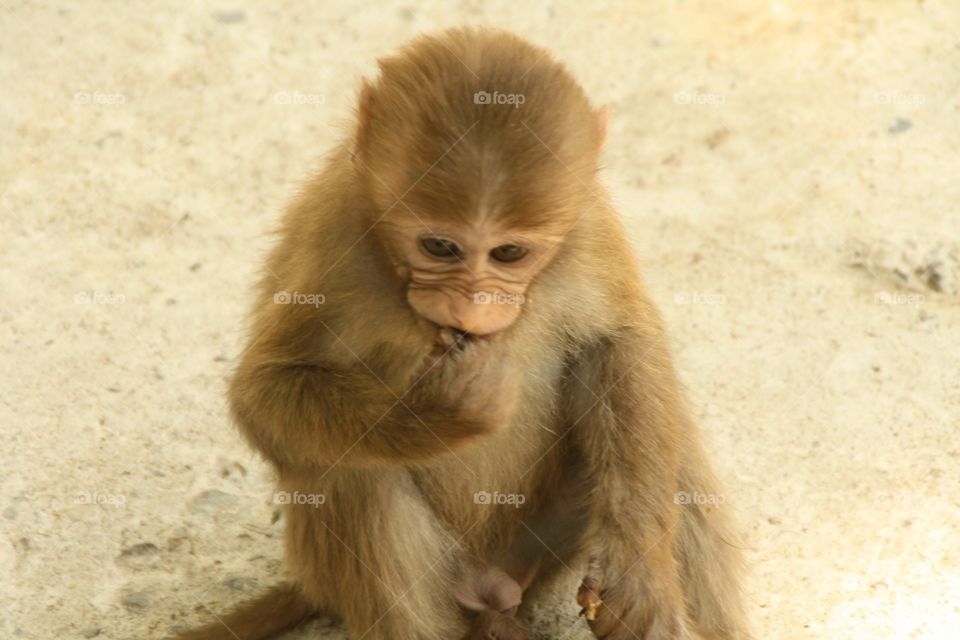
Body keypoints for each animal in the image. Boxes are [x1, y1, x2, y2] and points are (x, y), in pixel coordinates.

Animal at [169, 28, 748, 640]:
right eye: (439, 247)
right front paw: (444, 406)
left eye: (508, 253)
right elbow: (263, 395)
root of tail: (494, 581)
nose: (472, 307)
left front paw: (636, 570)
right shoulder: (331, 233)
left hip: (534, 547)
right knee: (356, 472)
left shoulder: (588, 224)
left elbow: (616, 340)